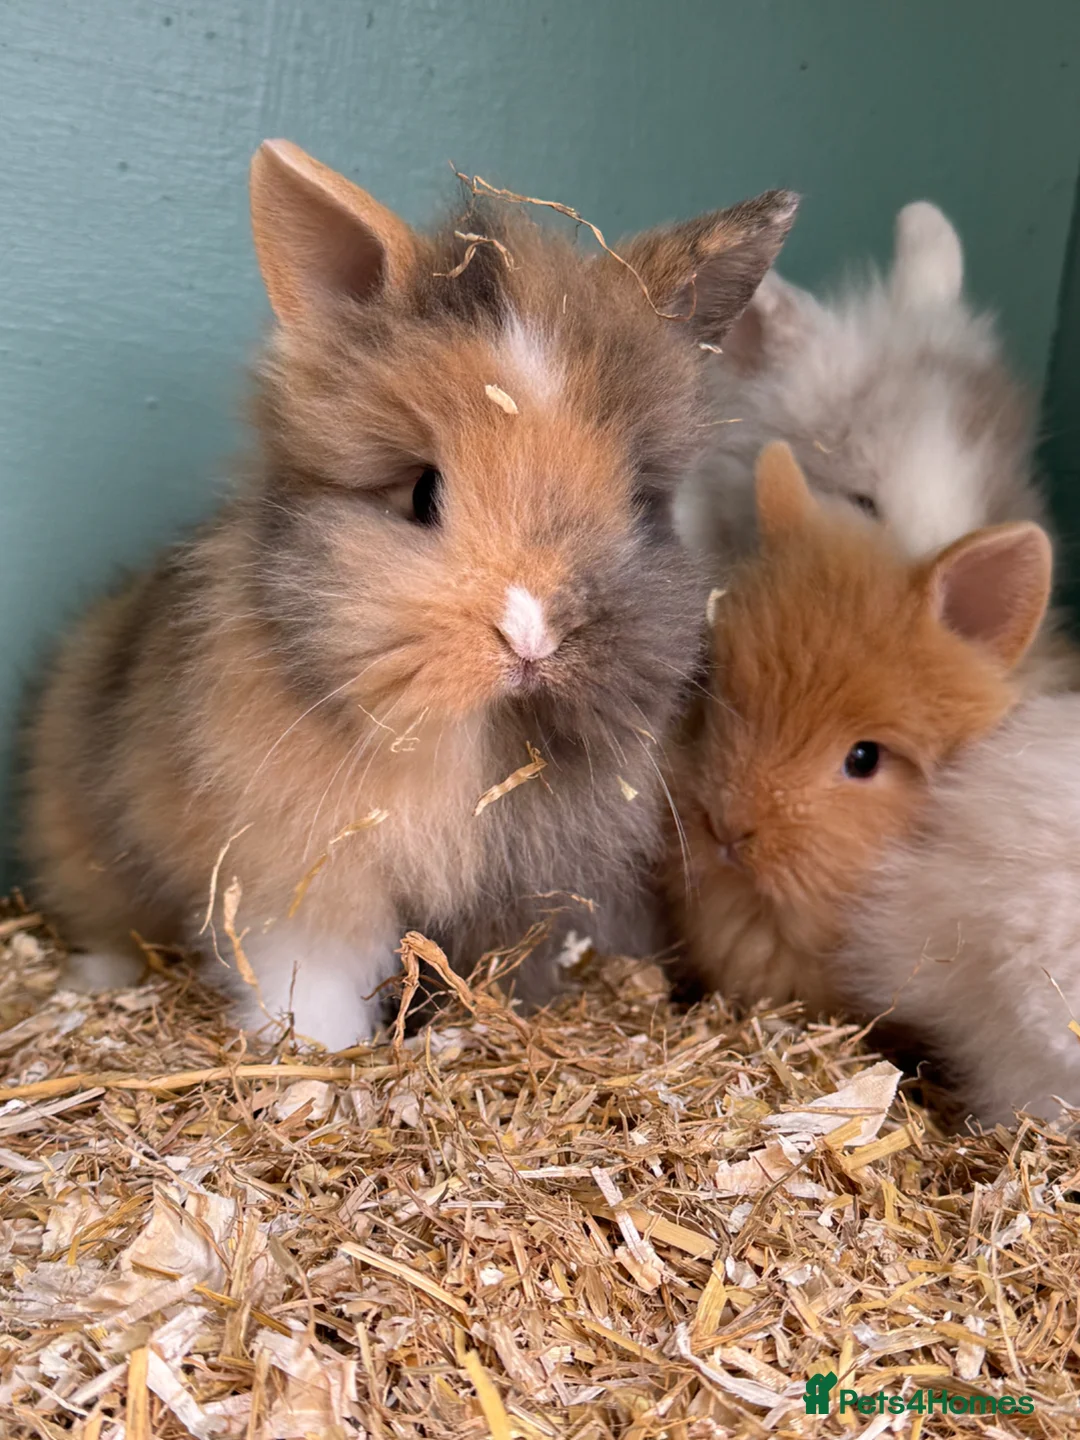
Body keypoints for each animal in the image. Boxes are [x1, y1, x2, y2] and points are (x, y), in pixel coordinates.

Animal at [21, 139, 799, 1050]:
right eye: (422, 492)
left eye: (641, 501)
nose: (531, 637)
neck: (476, 742)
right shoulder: (304, 875)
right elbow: (312, 974)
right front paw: (317, 1054)